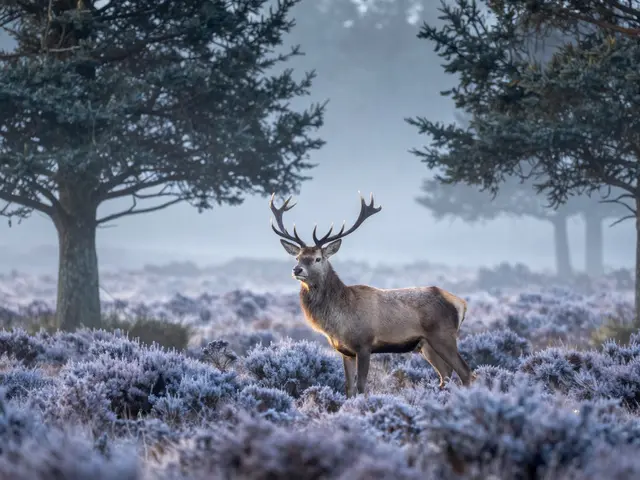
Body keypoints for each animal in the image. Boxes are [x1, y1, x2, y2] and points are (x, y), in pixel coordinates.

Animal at [268, 192, 476, 398]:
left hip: (443, 335)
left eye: (317, 258)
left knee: (466, 372)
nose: (297, 269)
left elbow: (361, 385)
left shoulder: (364, 344)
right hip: (426, 345)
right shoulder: (345, 351)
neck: (339, 320)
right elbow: (349, 387)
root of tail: (461, 303)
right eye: (298, 257)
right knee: (446, 374)